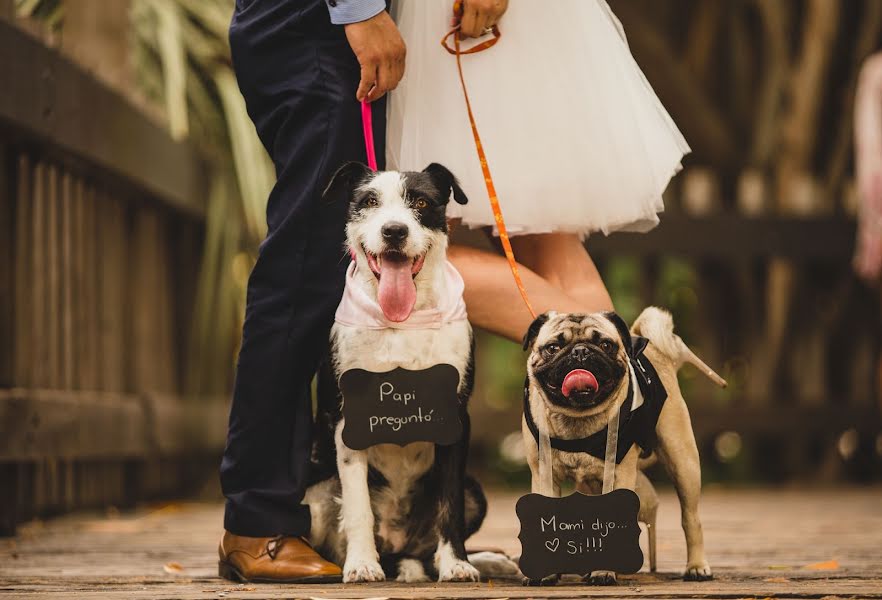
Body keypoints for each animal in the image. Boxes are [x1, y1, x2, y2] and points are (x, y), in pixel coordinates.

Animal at [302, 162, 502, 584]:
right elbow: (358, 506)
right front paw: (362, 564)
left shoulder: (454, 419)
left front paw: (456, 564)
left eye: (422, 202)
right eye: (369, 201)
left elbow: (449, 506)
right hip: (314, 495)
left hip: (476, 493)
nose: (394, 230)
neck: (403, 320)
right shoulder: (349, 421)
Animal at [524, 310, 720, 584]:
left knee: (691, 519)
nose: (580, 351)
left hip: (683, 463)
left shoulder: (618, 475)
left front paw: (604, 571)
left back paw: (697, 566)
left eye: (606, 345)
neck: (577, 419)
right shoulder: (544, 475)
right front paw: (547, 573)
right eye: (553, 348)